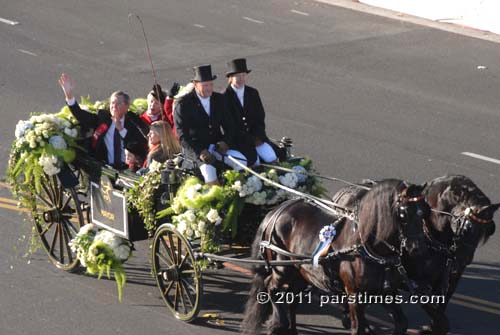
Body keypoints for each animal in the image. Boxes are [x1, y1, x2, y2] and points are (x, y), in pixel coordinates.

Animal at [242, 180, 430, 334]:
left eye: (424, 212)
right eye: (404, 213)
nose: (417, 247)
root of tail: (277, 211)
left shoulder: (386, 292)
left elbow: (402, 323)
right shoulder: (354, 293)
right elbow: (358, 328)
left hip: (302, 273)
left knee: (291, 299)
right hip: (283, 266)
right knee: (272, 287)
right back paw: (279, 323)